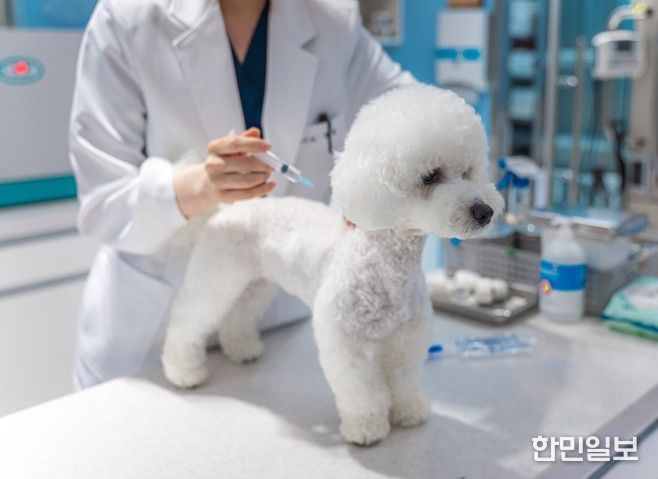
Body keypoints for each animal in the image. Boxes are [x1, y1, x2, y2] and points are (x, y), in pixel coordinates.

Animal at [161, 84, 504, 445]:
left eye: (468, 172)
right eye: (430, 176)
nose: (485, 212)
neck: (387, 268)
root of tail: (226, 209)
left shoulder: (406, 336)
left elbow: (405, 378)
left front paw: (409, 411)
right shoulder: (347, 339)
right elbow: (361, 391)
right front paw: (366, 427)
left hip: (257, 283)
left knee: (238, 316)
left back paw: (242, 348)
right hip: (216, 276)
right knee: (187, 321)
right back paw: (184, 371)